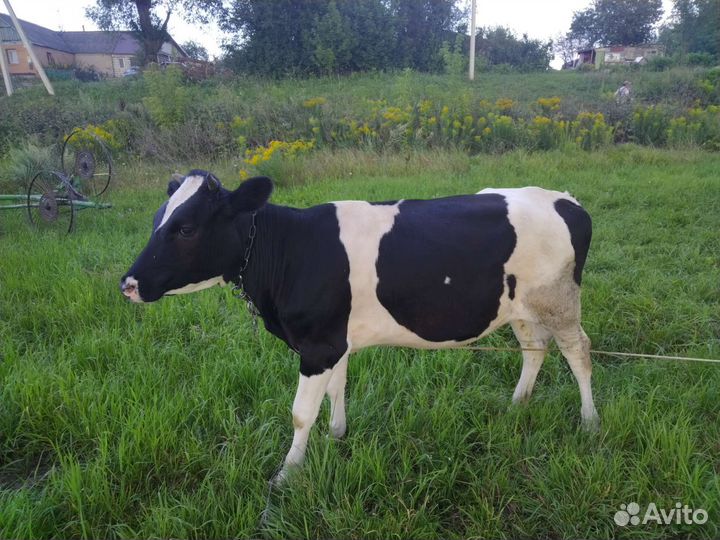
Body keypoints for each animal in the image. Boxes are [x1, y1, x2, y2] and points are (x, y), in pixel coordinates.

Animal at [121, 170, 599, 484]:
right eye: (157, 220)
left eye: (185, 228)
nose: (128, 284)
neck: (292, 250)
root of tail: (565, 199)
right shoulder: (335, 340)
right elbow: (337, 389)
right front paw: (337, 437)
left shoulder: (317, 345)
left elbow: (300, 413)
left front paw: (286, 475)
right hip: (520, 306)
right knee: (534, 349)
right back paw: (517, 405)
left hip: (559, 300)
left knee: (578, 351)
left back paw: (590, 421)